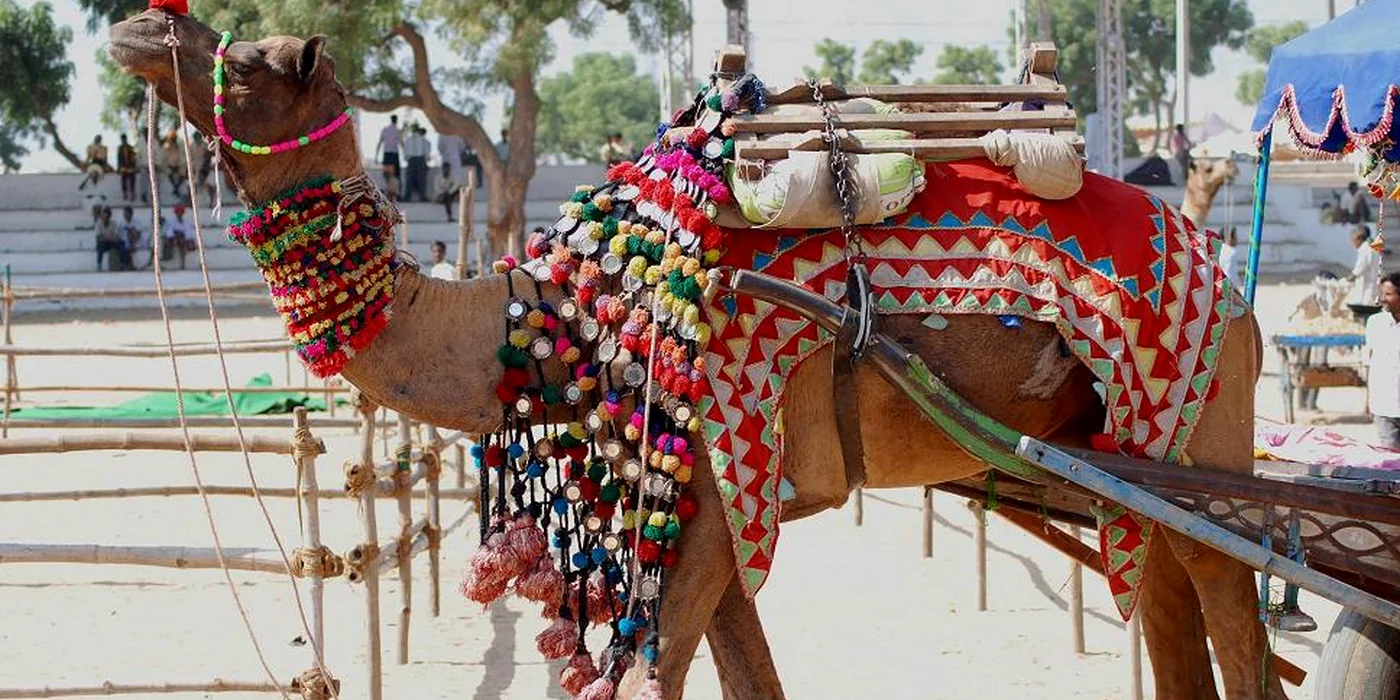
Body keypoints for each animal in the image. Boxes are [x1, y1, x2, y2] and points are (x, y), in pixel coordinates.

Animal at [109, 11, 1286, 700]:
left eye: (256, 60)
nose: (138, 24)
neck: (554, 321)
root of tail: (1228, 279)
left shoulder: (719, 483)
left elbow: (653, 674)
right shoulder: (711, 499)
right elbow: (742, 670)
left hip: (1198, 411)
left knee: (1231, 596)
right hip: (1122, 450)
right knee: (1171, 594)